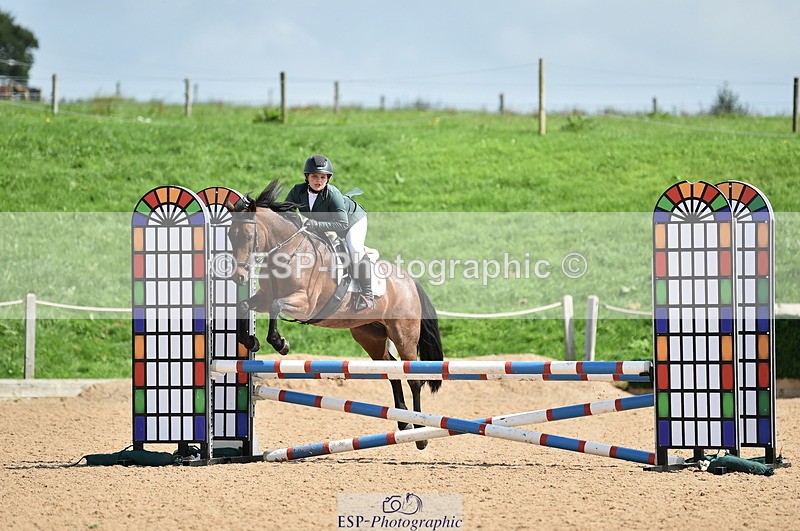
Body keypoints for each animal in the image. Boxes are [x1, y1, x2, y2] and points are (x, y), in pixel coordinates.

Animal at [225, 179, 444, 449]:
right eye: (229, 235)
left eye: (247, 235)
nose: (239, 277)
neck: (289, 252)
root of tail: (410, 281)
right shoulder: (264, 297)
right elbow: (245, 306)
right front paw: (250, 341)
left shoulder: (305, 304)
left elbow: (276, 306)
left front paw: (280, 344)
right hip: (369, 336)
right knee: (391, 369)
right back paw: (403, 423)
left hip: (404, 335)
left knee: (413, 377)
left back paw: (421, 433)